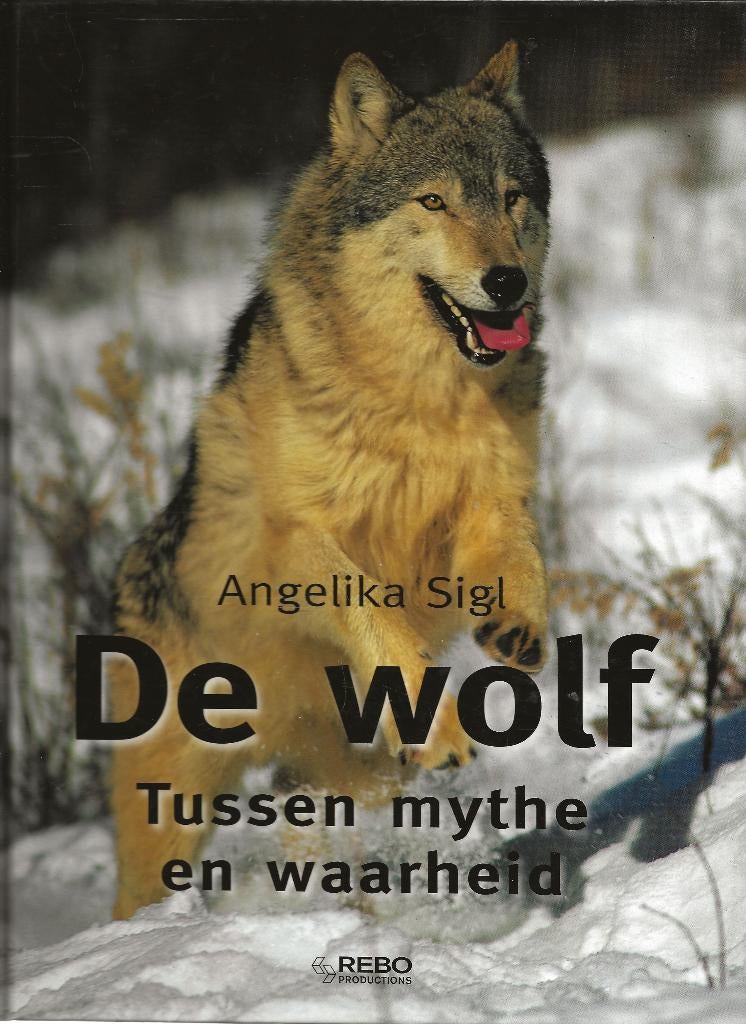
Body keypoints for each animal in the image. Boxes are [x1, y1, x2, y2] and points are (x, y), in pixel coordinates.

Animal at [110, 41, 551, 918]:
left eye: (512, 197)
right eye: (434, 202)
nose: (506, 282)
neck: (421, 400)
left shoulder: (490, 504)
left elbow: (523, 558)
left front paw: (518, 624)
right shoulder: (294, 546)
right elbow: (371, 612)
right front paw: (438, 728)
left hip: (335, 777)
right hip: (171, 809)